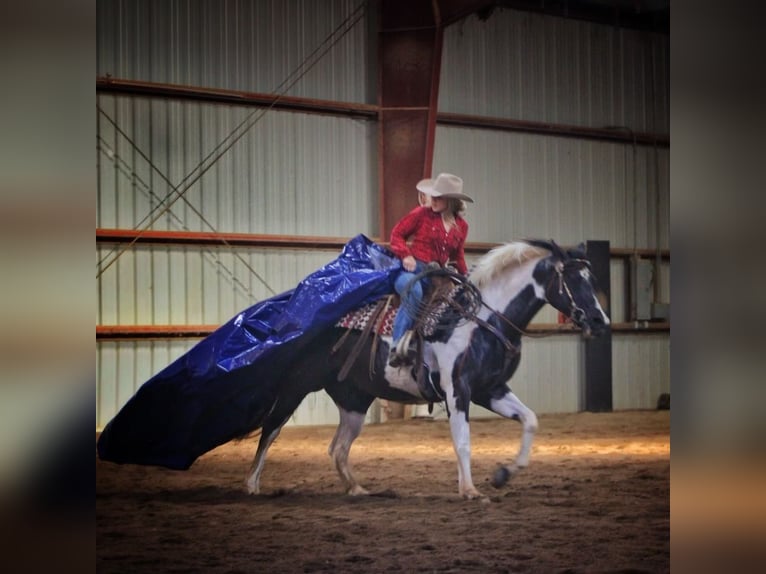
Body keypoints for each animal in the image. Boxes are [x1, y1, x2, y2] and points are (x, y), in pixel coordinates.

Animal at [246, 238, 612, 500]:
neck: (480, 319)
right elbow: (462, 440)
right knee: (271, 430)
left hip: (354, 400)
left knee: (338, 447)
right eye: (573, 279)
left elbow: (530, 420)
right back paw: (252, 484)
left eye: (591, 278)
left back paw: (357, 488)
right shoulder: (458, 390)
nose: (600, 321)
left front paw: (503, 474)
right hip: (296, 386)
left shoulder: (490, 390)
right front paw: (470, 490)